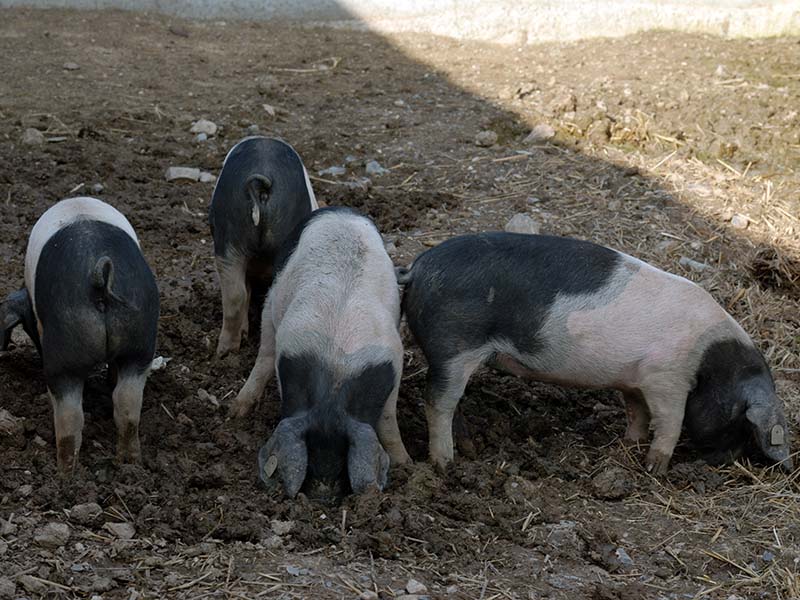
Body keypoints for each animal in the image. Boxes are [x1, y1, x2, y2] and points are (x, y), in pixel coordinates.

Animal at [0, 197, 159, 474]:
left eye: (28, 328)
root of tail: (99, 276)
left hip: (64, 352)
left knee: (70, 415)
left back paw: (65, 474)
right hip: (140, 338)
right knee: (126, 402)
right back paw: (130, 463)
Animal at [396, 232, 792, 476]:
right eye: (741, 419)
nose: (722, 464)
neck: (711, 360)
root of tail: (416, 268)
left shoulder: (635, 380)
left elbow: (636, 412)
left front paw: (630, 444)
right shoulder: (666, 377)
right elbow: (670, 420)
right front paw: (655, 468)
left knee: (454, 402)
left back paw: (470, 449)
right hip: (454, 345)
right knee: (437, 401)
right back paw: (445, 464)